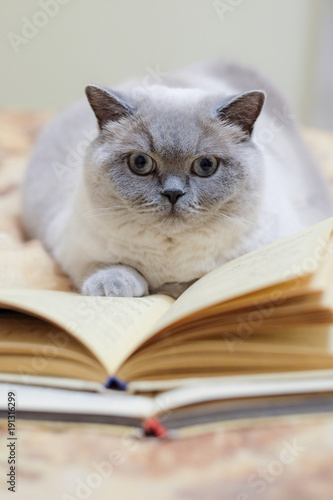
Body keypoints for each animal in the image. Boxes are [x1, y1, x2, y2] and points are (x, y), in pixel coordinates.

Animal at [21, 60, 332, 298]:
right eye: (141, 163)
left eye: (206, 165)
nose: (172, 193)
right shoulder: (70, 246)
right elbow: (107, 268)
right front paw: (117, 288)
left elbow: (197, 281)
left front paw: (175, 289)